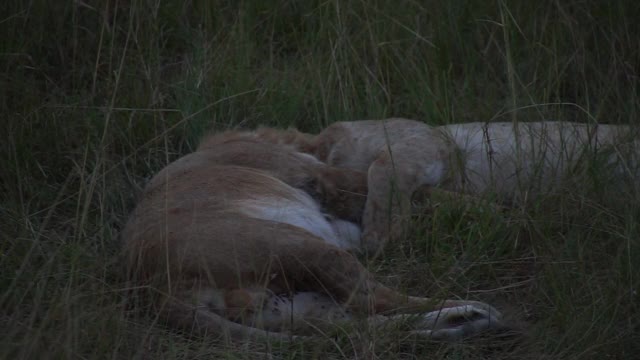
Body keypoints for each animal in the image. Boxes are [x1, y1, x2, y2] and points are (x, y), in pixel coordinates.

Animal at [121, 130, 504, 340]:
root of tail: (151, 286)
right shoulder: (320, 176)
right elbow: (423, 194)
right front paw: (500, 214)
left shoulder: (343, 225)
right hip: (298, 245)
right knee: (374, 300)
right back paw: (474, 309)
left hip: (288, 306)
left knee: (356, 324)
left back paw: (464, 321)